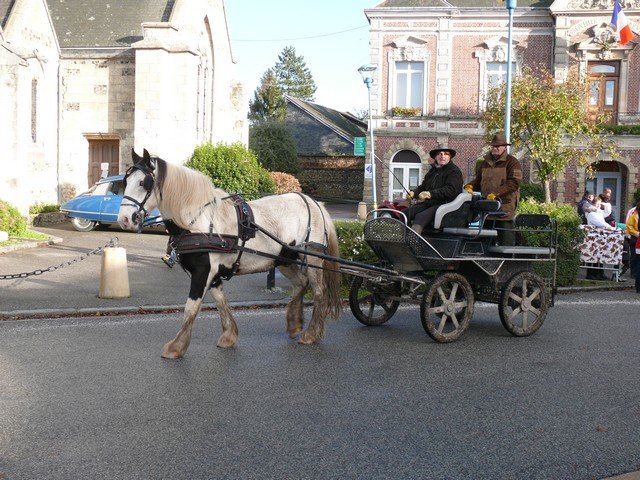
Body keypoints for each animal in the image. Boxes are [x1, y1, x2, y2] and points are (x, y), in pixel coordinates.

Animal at [118, 148, 342, 358]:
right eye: (125, 181)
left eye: (144, 182)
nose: (125, 219)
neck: (198, 221)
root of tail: (313, 202)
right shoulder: (213, 273)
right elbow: (220, 302)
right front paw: (229, 336)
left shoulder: (203, 271)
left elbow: (191, 307)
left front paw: (176, 346)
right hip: (285, 259)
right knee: (301, 283)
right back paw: (294, 323)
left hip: (312, 258)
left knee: (319, 291)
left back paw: (311, 333)